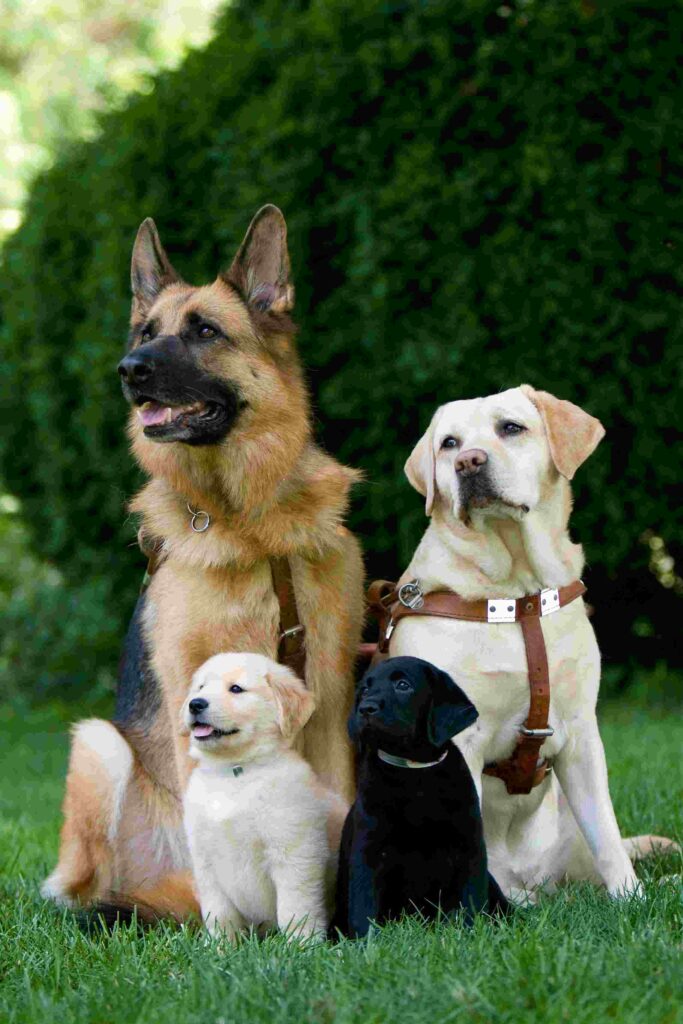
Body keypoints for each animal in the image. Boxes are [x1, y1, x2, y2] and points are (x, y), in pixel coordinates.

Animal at [181, 655, 348, 937]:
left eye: (236, 689)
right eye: (201, 687)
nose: (196, 704)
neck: (235, 773)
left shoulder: (294, 853)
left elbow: (295, 908)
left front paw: (303, 944)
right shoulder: (205, 863)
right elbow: (220, 915)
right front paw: (219, 947)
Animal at [331, 655, 507, 937]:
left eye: (403, 685)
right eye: (365, 690)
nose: (366, 709)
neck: (413, 772)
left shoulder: (469, 848)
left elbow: (471, 901)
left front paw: (469, 934)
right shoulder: (368, 851)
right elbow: (363, 906)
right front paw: (365, 942)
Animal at [389, 387, 671, 901]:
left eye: (511, 428)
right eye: (449, 443)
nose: (469, 462)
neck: (516, 594)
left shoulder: (581, 733)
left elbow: (607, 832)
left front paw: (631, 898)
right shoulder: (460, 741)